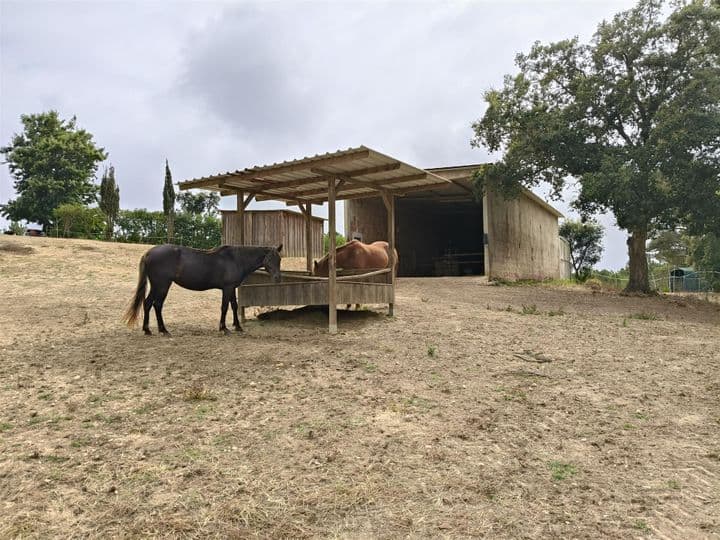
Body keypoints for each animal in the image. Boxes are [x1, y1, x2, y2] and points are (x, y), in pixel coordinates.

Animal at [124, 244, 282, 336]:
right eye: (269, 259)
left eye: (279, 259)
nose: (278, 278)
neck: (236, 259)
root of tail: (148, 253)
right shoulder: (227, 288)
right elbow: (224, 307)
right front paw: (223, 328)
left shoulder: (231, 288)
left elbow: (234, 306)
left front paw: (237, 326)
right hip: (162, 285)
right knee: (157, 305)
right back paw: (163, 330)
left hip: (157, 285)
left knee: (147, 303)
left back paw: (147, 330)